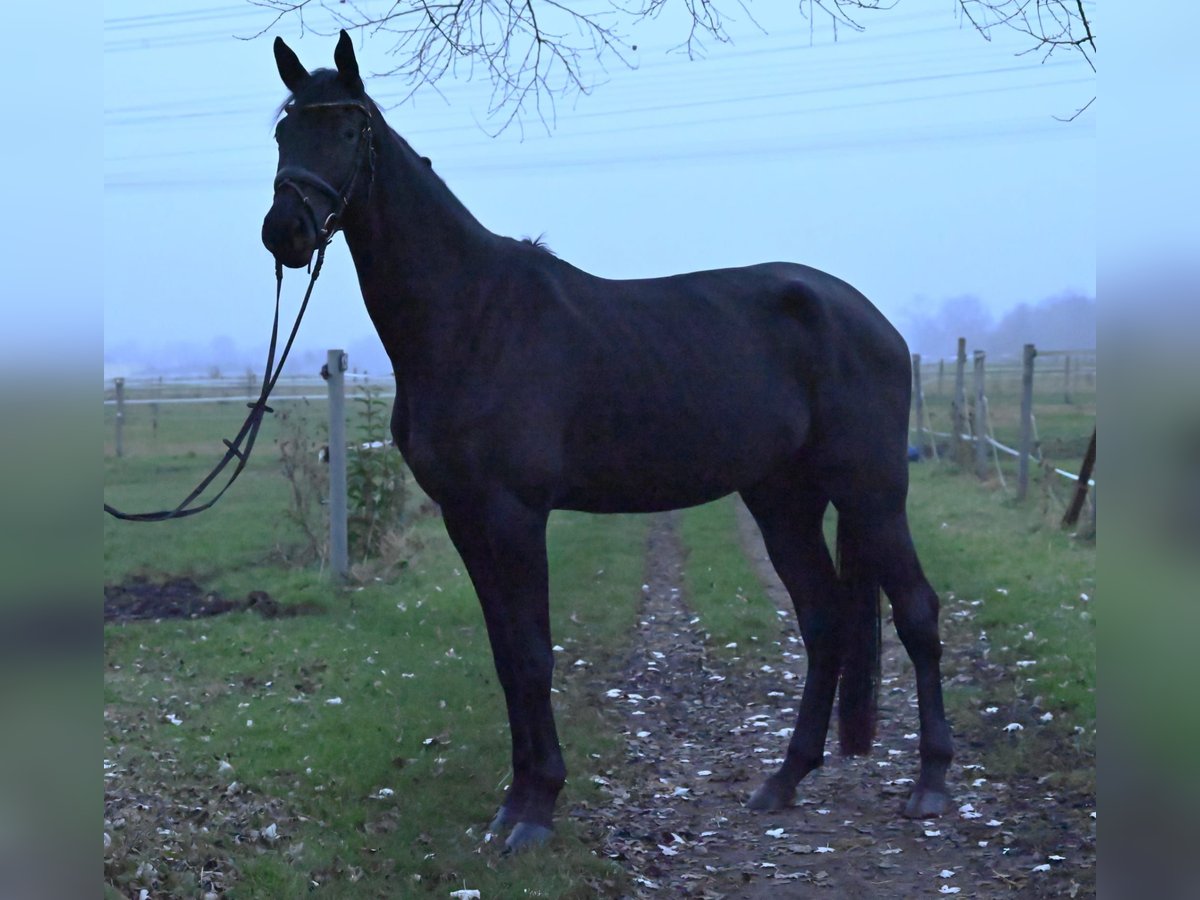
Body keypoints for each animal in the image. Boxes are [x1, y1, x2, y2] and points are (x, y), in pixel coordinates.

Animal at [262, 31, 955, 854]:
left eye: (345, 130)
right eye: (282, 131)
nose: (285, 231)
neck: (472, 317)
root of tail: (874, 321)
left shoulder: (514, 515)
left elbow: (533, 655)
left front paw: (537, 809)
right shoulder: (466, 518)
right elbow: (506, 656)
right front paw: (514, 801)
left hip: (870, 492)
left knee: (916, 612)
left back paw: (930, 785)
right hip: (782, 500)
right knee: (824, 621)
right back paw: (783, 781)